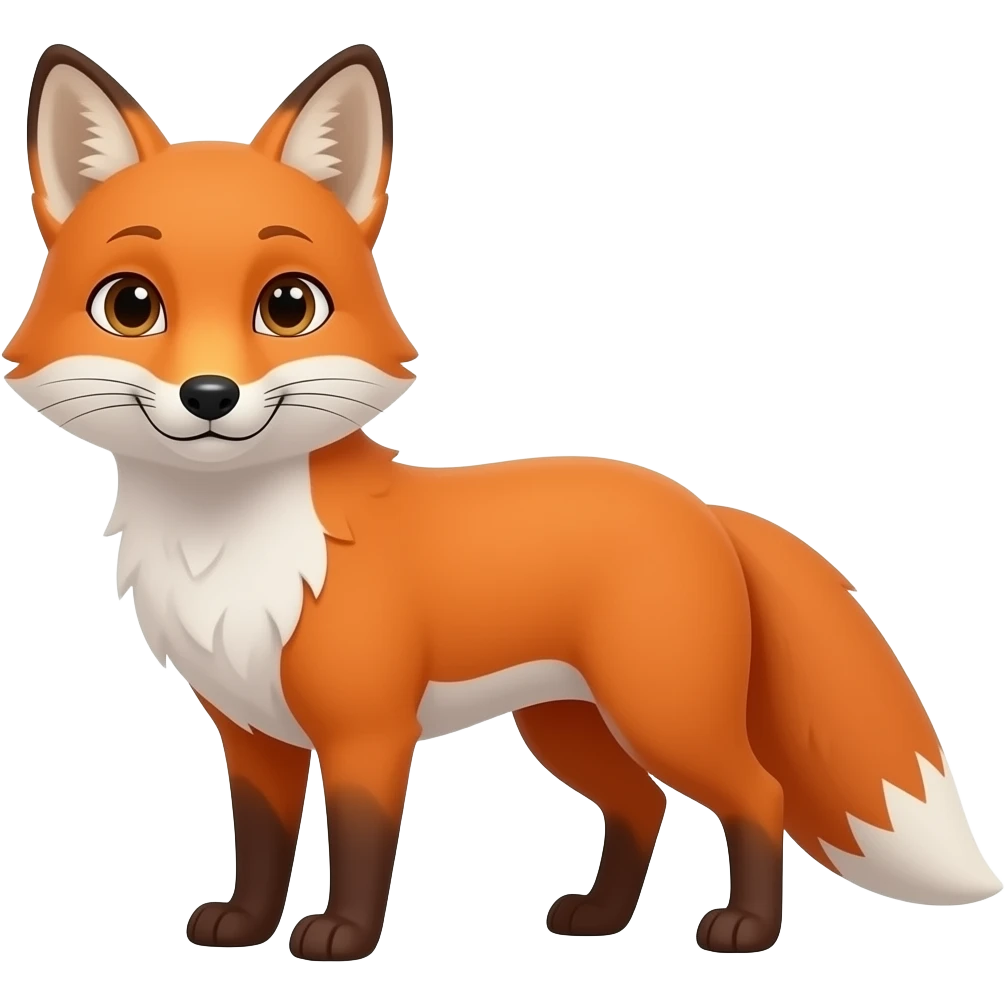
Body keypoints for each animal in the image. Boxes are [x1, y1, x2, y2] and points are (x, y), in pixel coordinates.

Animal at [7, 41, 1001, 962]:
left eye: (288, 305)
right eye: (131, 305)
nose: (209, 396)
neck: (230, 546)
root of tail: (703, 506)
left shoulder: (369, 730)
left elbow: (360, 845)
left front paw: (343, 936)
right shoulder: (253, 731)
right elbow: (260, 843)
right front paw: (245, 927)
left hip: (660, 712)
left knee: (759, 793)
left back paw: (745, 928)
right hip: (566, 725)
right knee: (642, 805)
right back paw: (598, 919)